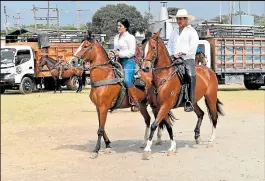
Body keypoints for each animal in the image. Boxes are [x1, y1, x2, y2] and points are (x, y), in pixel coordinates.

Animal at [140, 29, 223, 160]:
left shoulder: (166, 105)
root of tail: (209, 71)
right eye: (143, 48)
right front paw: (172, 147)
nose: (145, 68)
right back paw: (197, 137)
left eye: (153, 47)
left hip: (211, 98)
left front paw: (147, 150)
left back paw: (211, 141)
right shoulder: (160, 106)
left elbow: (154, 124)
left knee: (214, 117)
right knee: (201, 114)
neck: (164, 76)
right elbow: (168, 125)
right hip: (193, 102)